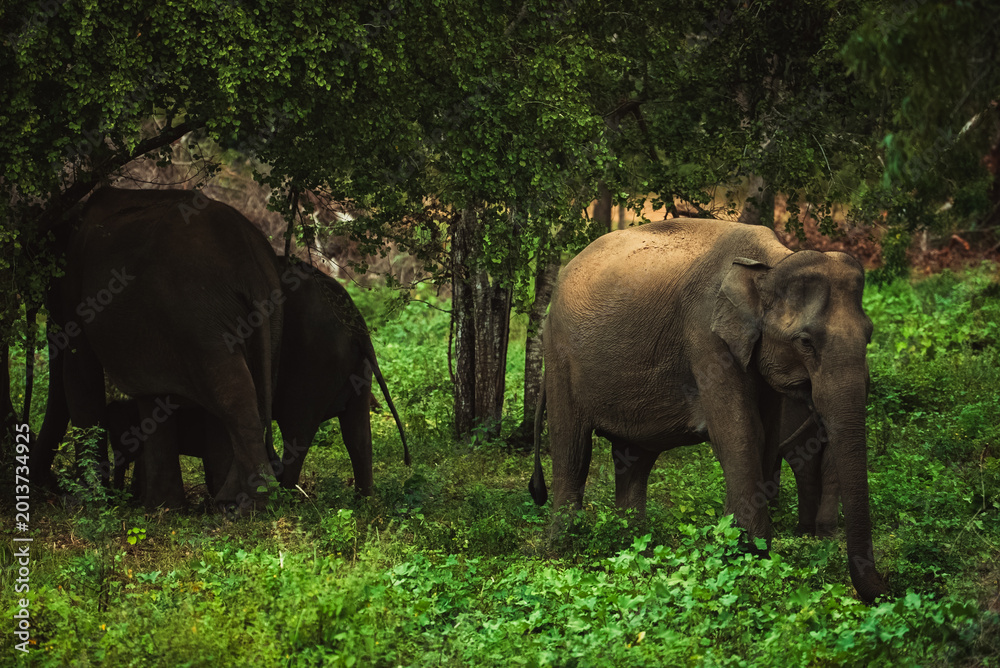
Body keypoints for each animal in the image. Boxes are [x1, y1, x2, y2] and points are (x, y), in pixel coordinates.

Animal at [33, 187, 282, 511]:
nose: (46, 485)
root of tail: (250, 266)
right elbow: (152, 394)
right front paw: (160, 508)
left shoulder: (77, 290)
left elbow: (79, 372)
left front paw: (89, 500)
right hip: (266, 318)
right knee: (251, 387)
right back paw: (225, 502)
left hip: (200, 316)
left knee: (232, 393)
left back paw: (247, 505)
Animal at [529, 218, 885, 603]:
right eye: (805, 342)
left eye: (869, 334)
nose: (886, 587)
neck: (771, 262)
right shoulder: (706, 336)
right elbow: (738, 430)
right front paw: (749, 553)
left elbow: (767, 433)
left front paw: (740, 546)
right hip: (559, 354)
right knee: (573, 449)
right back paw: (564, 548)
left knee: (634, 459)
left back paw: (634, 547)